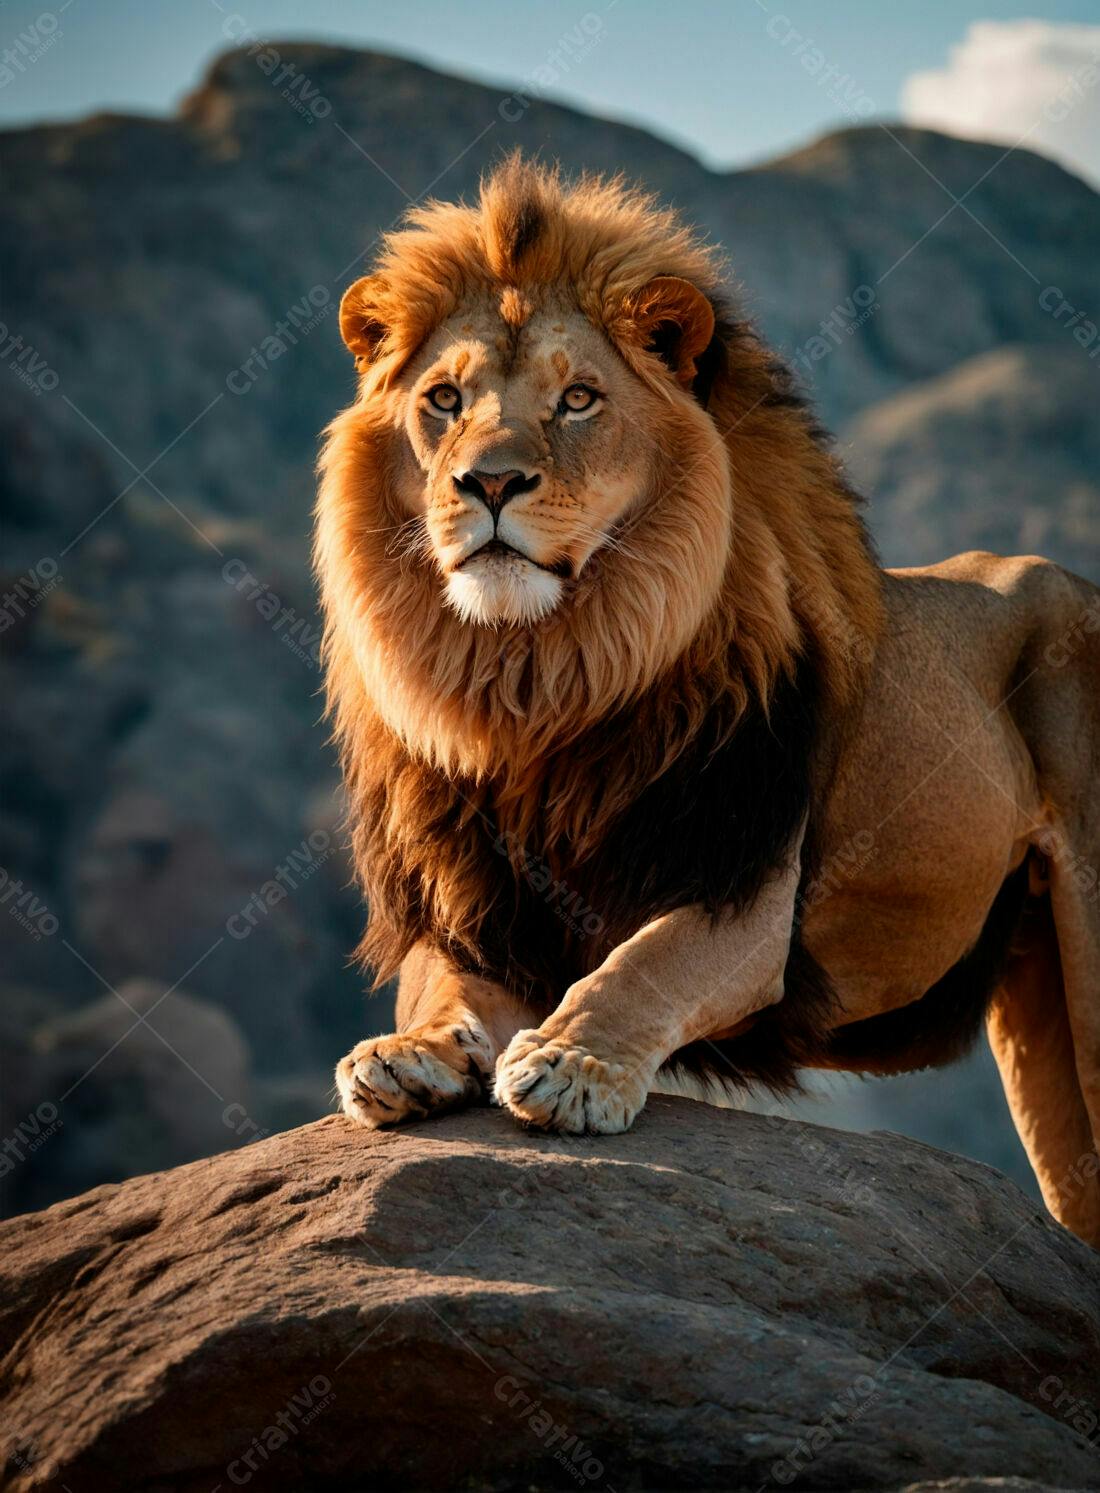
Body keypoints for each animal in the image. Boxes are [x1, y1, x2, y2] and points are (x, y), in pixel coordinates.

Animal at [315, 155, 1100, 1246]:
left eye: (577, 398)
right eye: (443, 397)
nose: (489, 483)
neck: (539, 683)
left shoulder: (742, 878)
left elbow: (646, 962)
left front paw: (570, 1061)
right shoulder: (476, 905)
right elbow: (443, 985)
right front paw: (407, 1055)